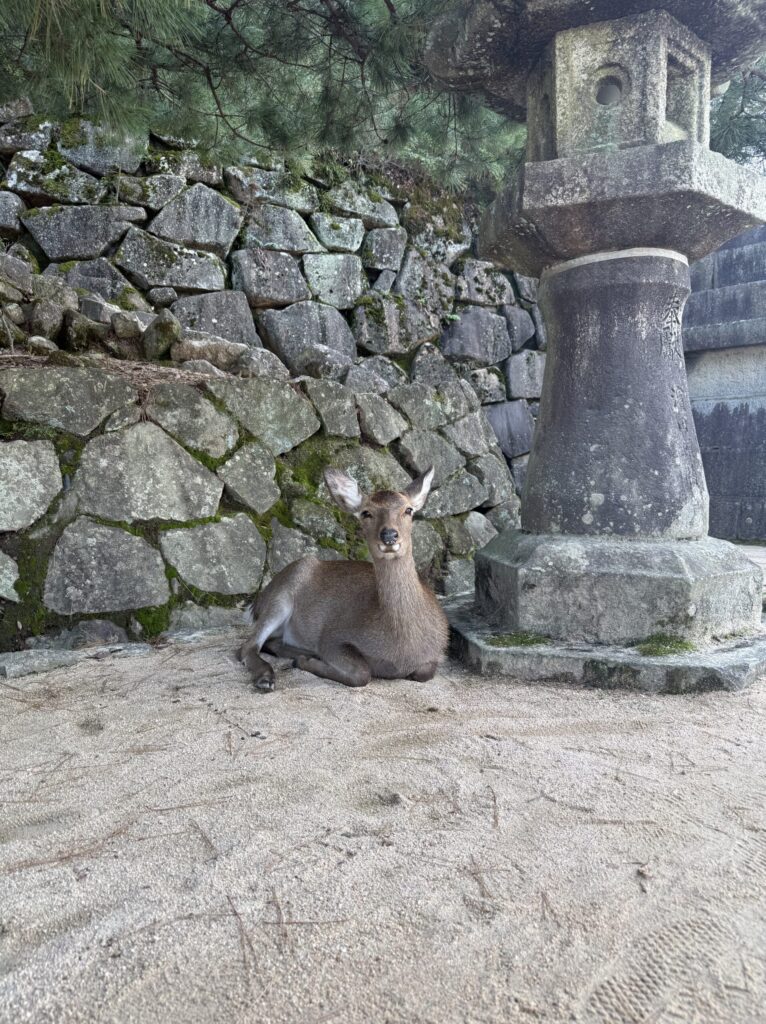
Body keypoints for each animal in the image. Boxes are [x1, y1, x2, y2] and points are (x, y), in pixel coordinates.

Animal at [238, 466, 449, 691]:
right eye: (366, 512)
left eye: (408, 510)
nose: (389, 535)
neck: (401, 650)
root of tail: (256, 605)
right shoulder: (333, 637)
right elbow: (362, 674)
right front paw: (306, 662)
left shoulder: (436, 653)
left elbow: (424, 673)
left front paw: (306, 659)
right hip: (282, 594)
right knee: (247, 646)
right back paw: (267, 678)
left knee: (271, 642)